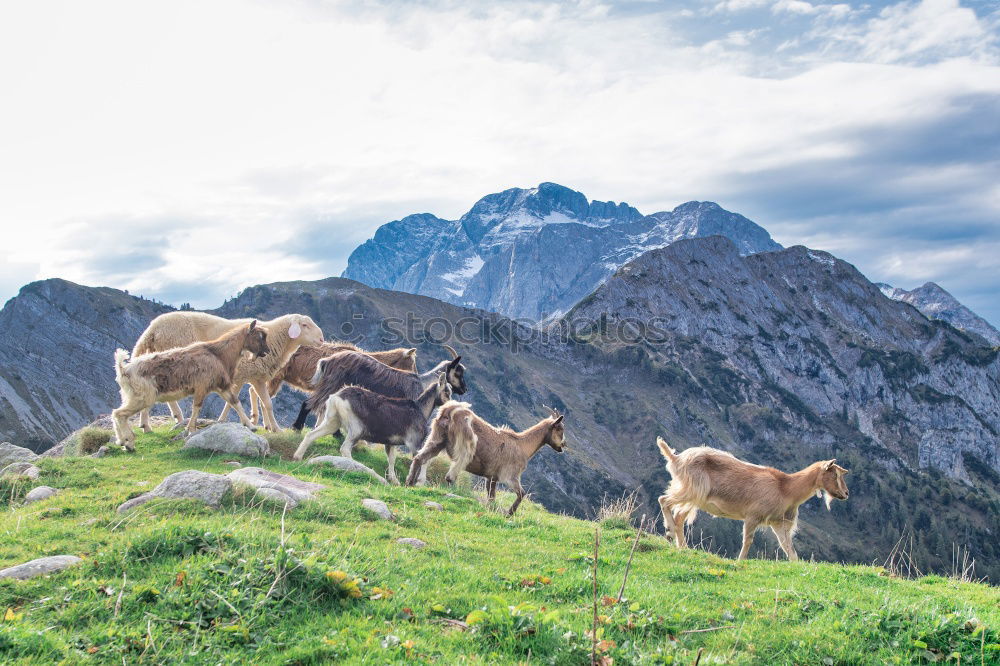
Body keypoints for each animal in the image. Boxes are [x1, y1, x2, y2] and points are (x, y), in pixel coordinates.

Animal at [112, 320, 270, 448]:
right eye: (259, 336)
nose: (267, 351)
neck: (219, 355)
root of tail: (123, 369)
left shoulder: (220, 386)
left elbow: (235, 402)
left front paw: (251, 426)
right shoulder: (202, 386)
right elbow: (197, 407)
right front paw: (191, 429)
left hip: (132, 395)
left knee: (116, 413)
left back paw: (121, 441)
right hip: (142, 396)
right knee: (119, 414)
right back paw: (129, 443)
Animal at [290, 342, 468, 430]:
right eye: (458, 372)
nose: (464, 389)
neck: (422, 382)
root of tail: (327, 361)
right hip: (331, 385)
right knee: (308, 403)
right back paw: (297, 427)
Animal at [292, 370, 452, 480]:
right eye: (447, 391)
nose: (449, 405)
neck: (419, 409)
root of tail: (337, 397)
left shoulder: (391, 443)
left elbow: (391, 459)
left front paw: (394, 481)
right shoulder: (414, 442)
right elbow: (422, 460)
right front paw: (420, 482)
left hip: (332, 422)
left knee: (311, 435)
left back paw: (297, 457)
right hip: (356, 430)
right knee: (345, 449)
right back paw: (359, 467)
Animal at [404, 400, 564, 512]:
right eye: (560, 429)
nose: (562, 446)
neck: (522, 445)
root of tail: (450, 410)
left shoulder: (491, 477)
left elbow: (492, 496)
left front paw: (493, 509)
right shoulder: (510, 475)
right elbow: (521, 493)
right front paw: (510, 513)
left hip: (437, 438)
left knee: (420, 457)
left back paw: (409, 483)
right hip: (465, 446)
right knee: (450, 476)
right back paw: (455, 493)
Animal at [656, 436, 852, 560]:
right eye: (835, 474)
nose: (846, 493)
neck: (786, 488)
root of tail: (676, 458)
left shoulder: (778, 523)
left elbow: (789, 548)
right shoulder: (753, 516)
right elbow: (748, 541)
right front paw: (740, 561)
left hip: (695, 497)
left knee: (679, 517)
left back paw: (682, 546)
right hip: (691, 490)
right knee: (663, 500)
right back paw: (670, 531)